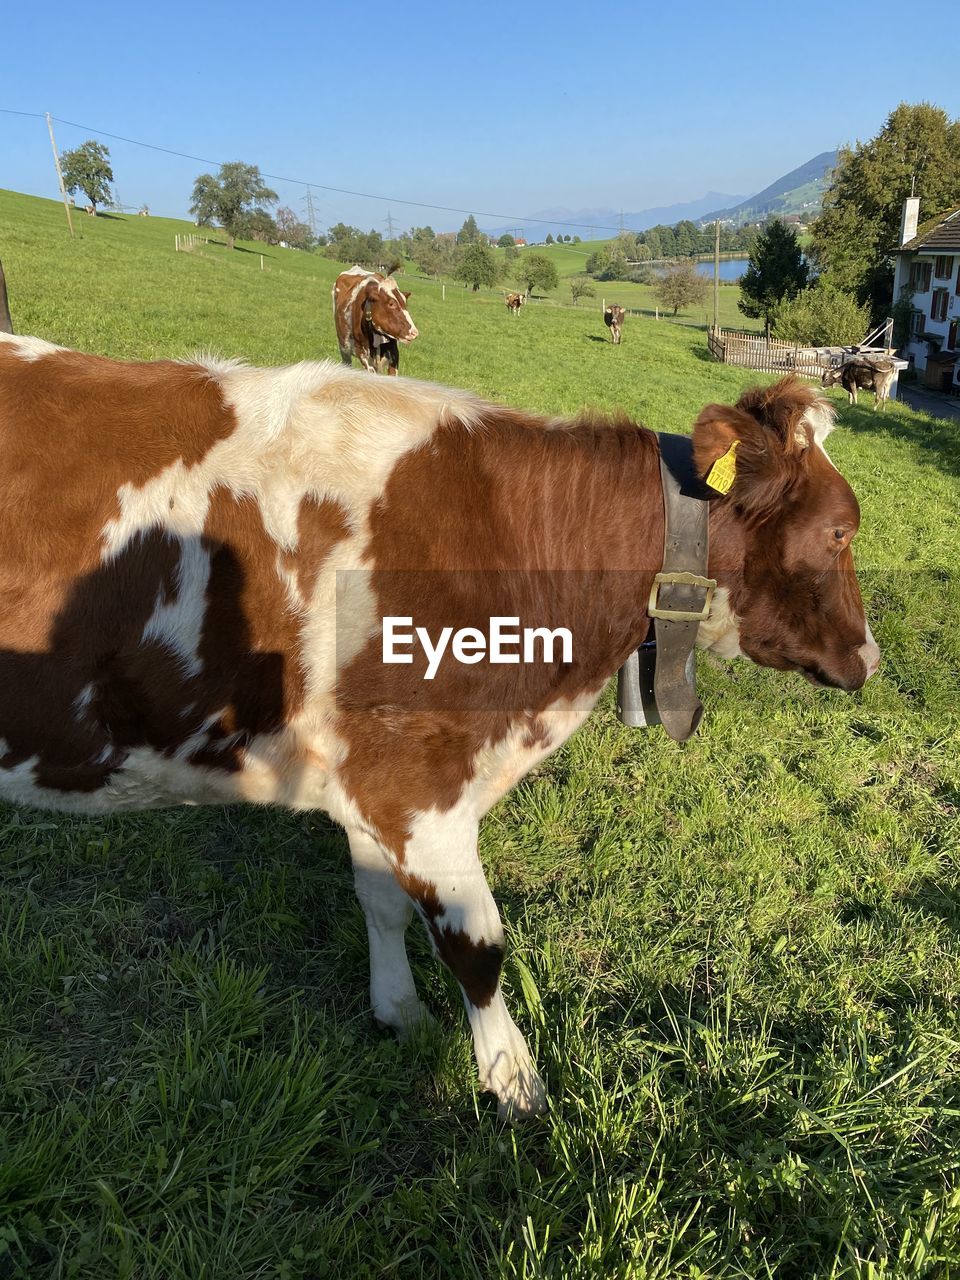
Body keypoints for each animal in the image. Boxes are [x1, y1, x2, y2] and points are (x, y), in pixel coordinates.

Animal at [0, 330, 880, 1121]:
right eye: (839, 530)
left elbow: (382, 904)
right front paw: (514, 1083)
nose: (867, 658)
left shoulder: (370, 785)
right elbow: (477, 945)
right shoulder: (418, 785)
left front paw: (401, 1012)